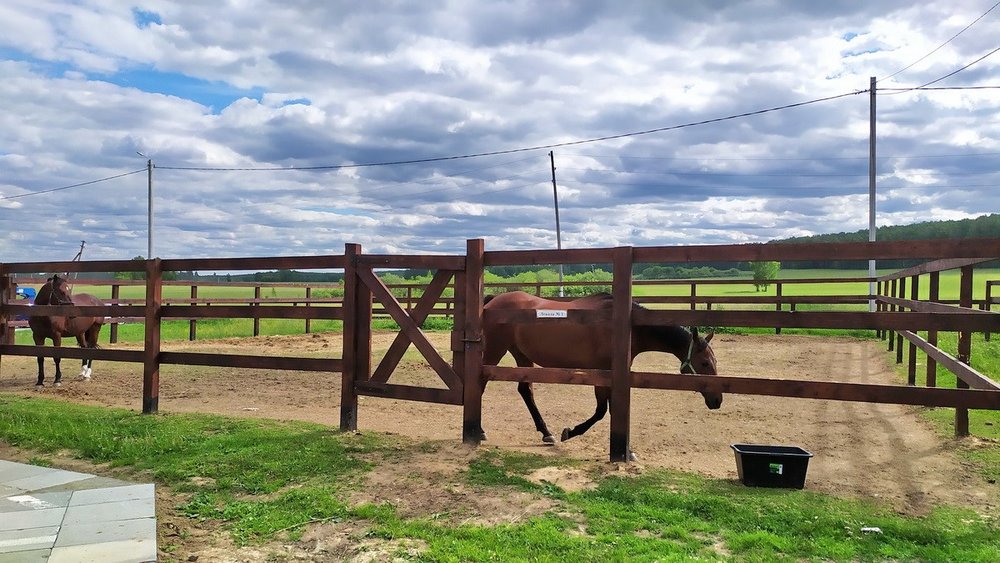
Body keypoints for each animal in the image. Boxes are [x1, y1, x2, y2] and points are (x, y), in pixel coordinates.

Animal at [482, 294, 724, 448]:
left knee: (525, 390)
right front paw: (571, 432)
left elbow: (611, 409)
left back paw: (546, 433)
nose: (717, 400)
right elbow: (601, 411)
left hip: (522, 356)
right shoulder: (601, 373)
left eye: (715, 361)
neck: (624, 328)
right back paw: (481, 432)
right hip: (494, 350)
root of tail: (493, 300)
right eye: (704, 363)